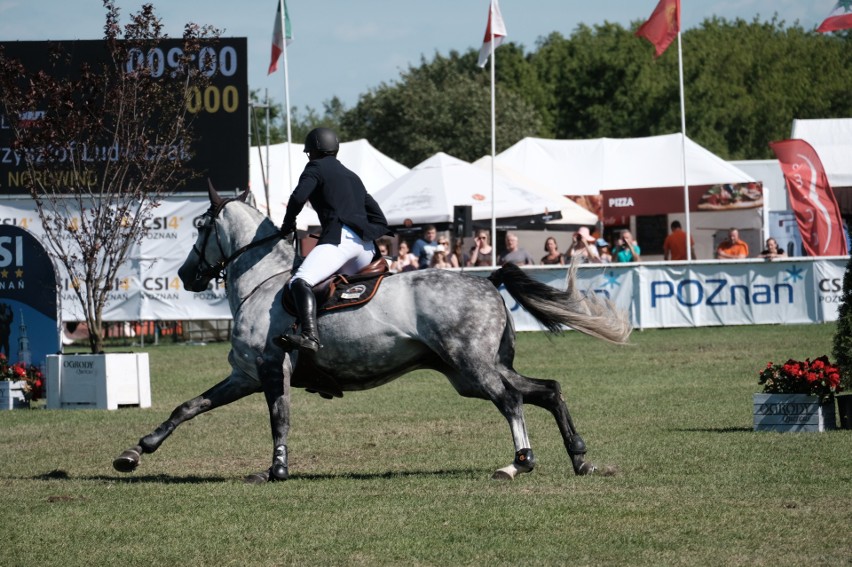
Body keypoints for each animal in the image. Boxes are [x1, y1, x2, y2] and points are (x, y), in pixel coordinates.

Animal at [113, 187, 628, 484]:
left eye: (201, 226)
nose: (187, 275)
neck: (264, 282)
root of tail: (486, 280)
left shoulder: (271, 371)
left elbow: (279, 420)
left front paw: (275, 469)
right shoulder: (245, 375)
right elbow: (187, 408)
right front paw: (135, 453)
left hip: (473, 367)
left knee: (512, 401)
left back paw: (519, 461)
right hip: (472, 372)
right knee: (547, 390)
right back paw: (579, 457)